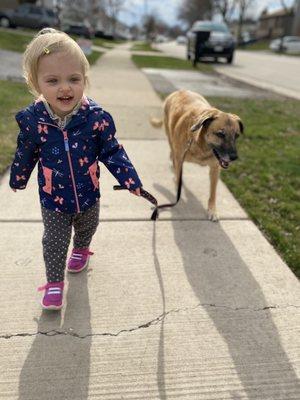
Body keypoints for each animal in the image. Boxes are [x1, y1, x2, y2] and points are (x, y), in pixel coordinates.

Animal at [151, 90, 243, 220]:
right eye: (220, 134)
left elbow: (213, 192)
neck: (201, 146)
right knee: (172, 153)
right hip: (169, 136)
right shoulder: (180, 158)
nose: (234, 157)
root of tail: (179, 91)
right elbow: (178, 174)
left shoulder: (215, 169)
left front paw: (212, 210)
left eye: (237, 135)